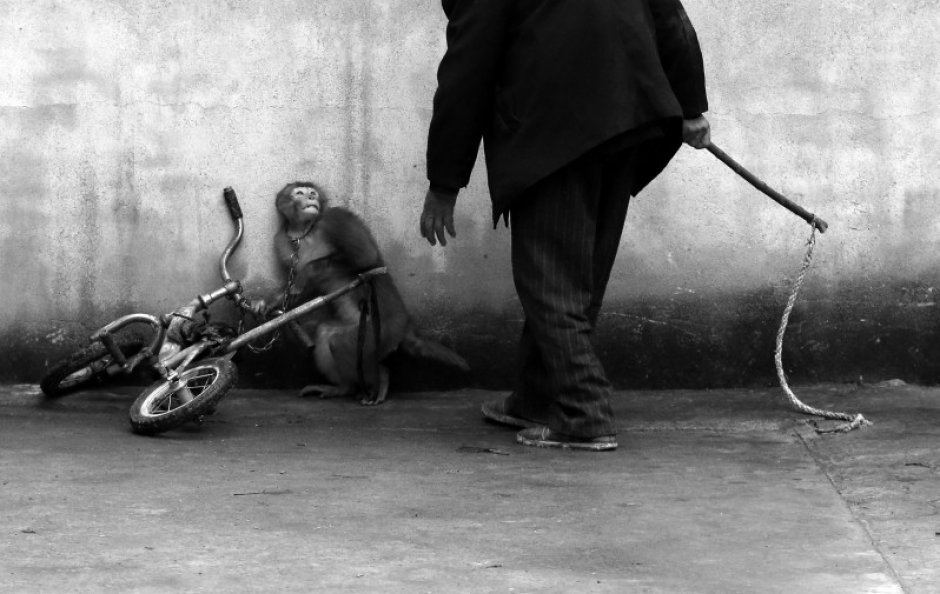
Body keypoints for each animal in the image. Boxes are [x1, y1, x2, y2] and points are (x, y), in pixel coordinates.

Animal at [252, 180, 468, 402]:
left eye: (312, 192)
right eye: (300, 193)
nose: (311, 198)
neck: (305, 231)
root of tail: (406, 326)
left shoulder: (336, 219)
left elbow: (366, 256)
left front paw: (305, 272)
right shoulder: (282, 241)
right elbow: (299, 291)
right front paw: (265, 304)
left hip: (383, 332)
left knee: (340, 343)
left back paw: (381, 378)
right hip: (358, 326)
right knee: (327, 333)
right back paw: (343, 387)